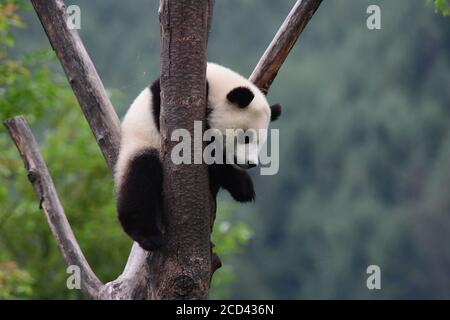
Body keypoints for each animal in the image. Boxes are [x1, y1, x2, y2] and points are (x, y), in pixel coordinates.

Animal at [113, 62, 282, 251]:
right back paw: (148, 236)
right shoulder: (165, 104)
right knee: (141, 179)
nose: (251, 163)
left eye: (260, 143)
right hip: (139, 147)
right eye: (246, 137)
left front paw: (242, 187)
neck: (214, 86)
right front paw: (242, 185)